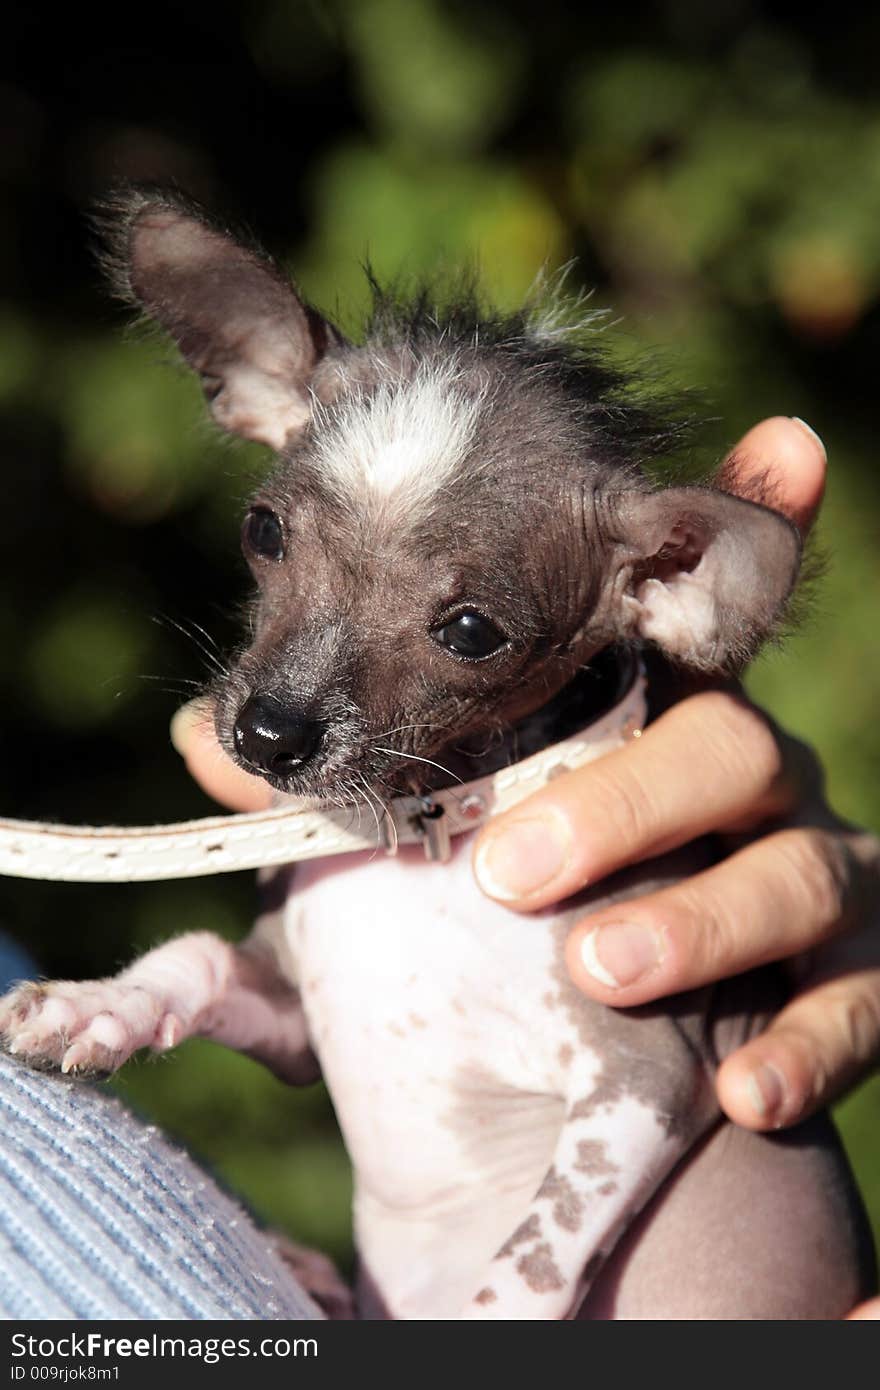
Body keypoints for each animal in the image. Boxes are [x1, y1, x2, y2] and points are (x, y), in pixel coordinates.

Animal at [0, 190, 873, 1317]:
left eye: (470, 632)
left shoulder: (644, 1075)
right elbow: (191, 953)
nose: (268, 734)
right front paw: (94, 1007)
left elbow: (530, 1259)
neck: (425, 844)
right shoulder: (292, 1011)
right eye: (263, 532)